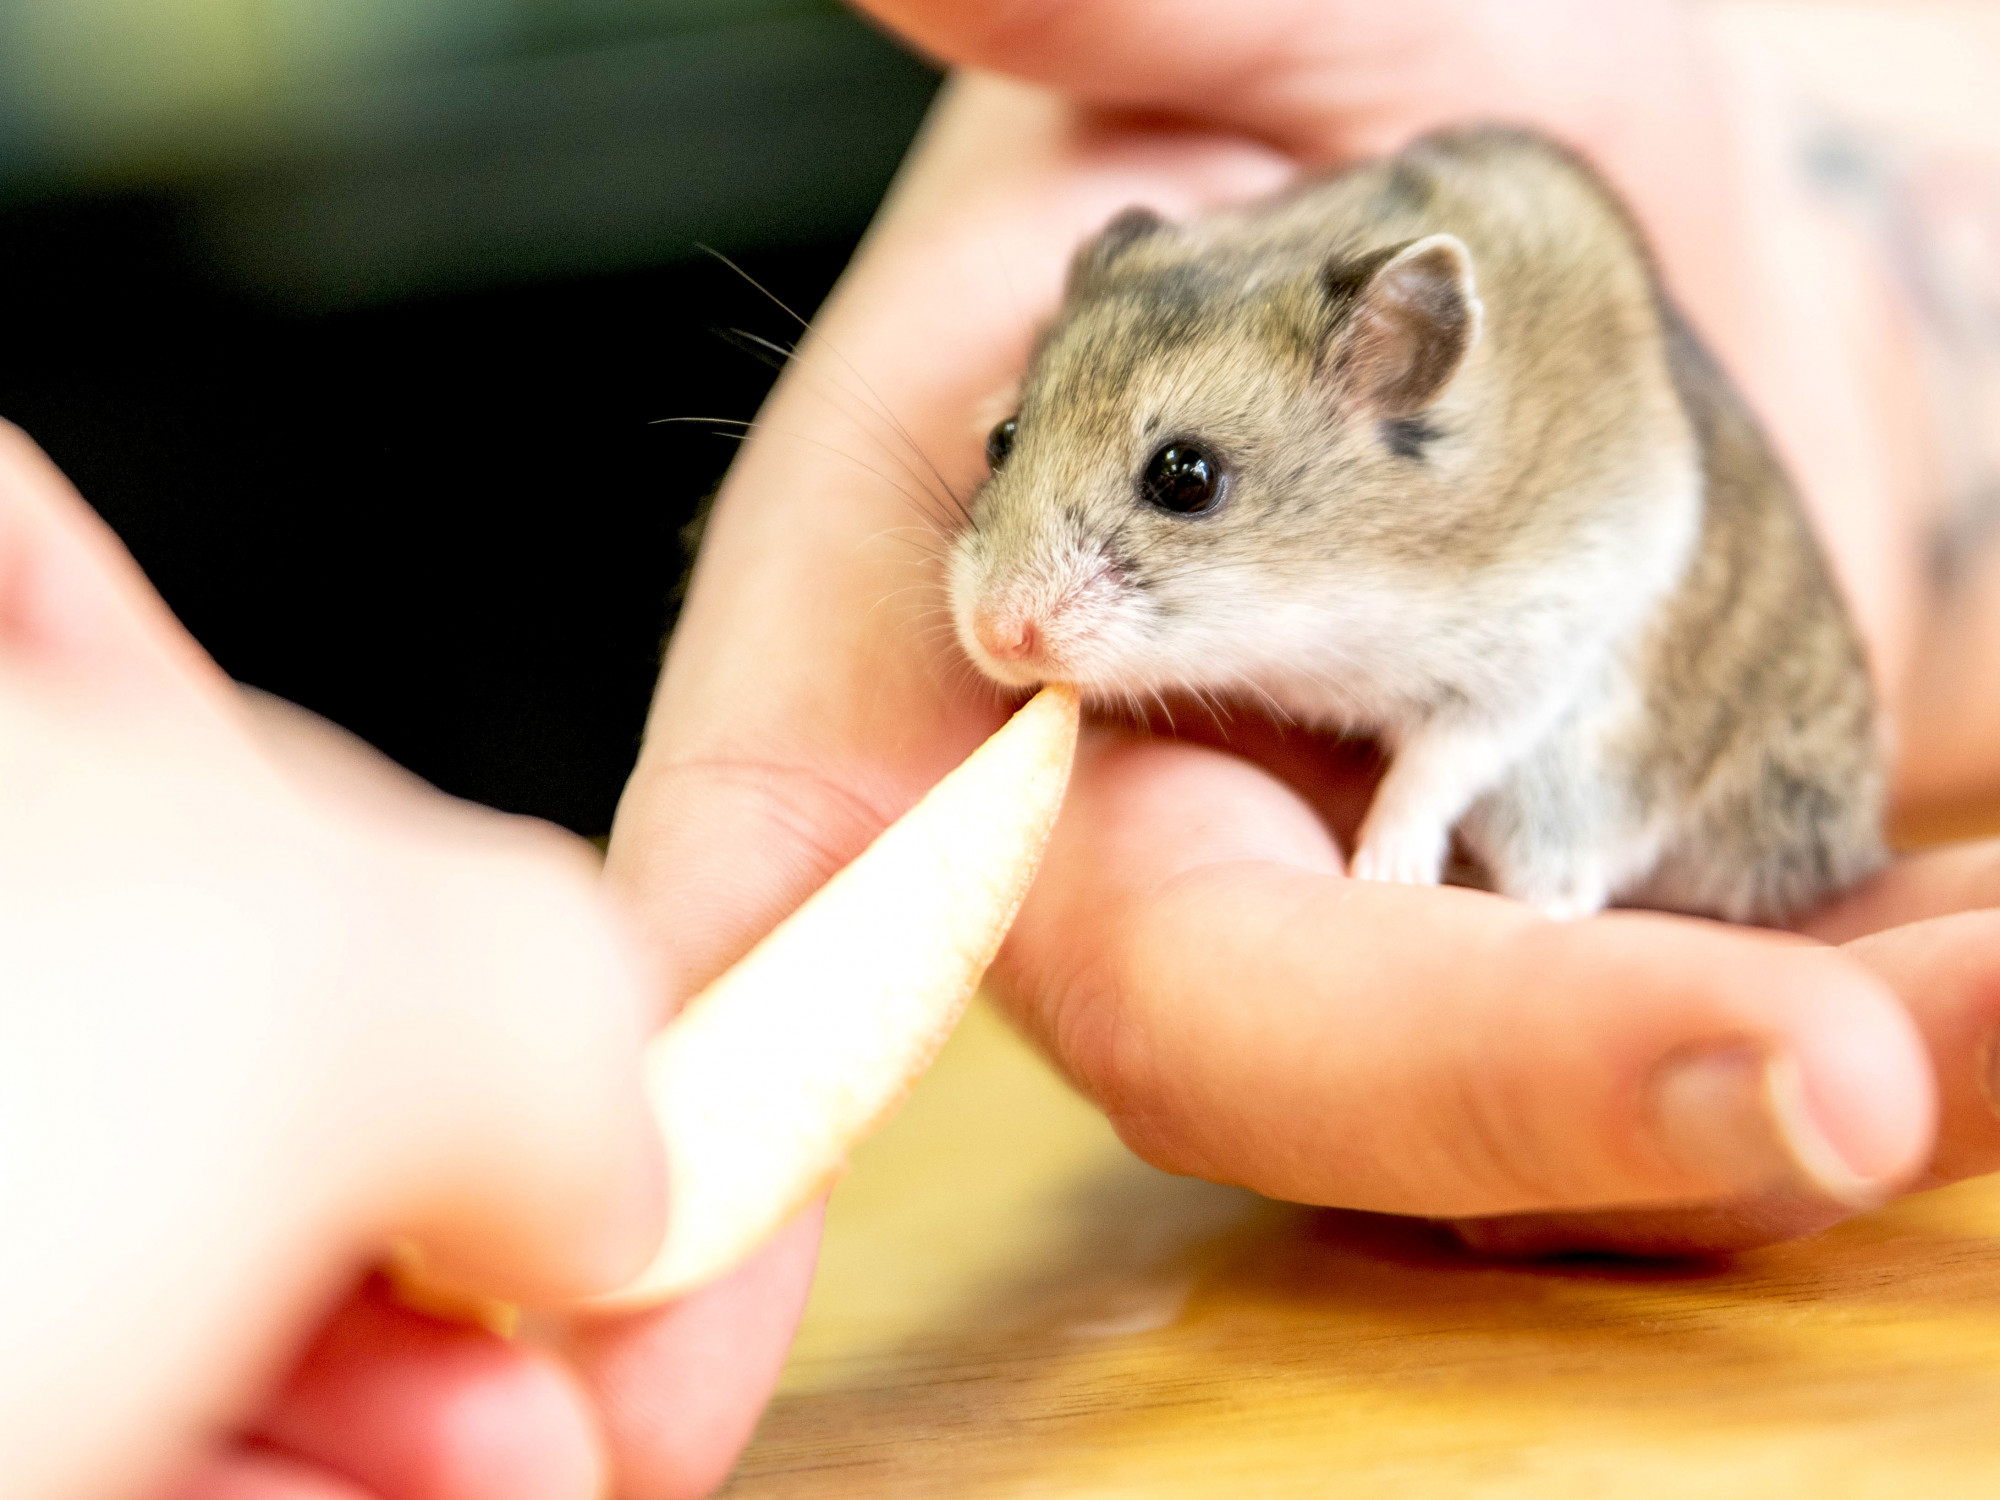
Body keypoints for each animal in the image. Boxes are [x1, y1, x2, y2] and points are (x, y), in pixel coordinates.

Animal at [947, 126, 1885, 923]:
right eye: (1002, 438)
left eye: (1187, 478)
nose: (996, 636)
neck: (1334, 590)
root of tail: (1857, 850)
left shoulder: (1533, 640)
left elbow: (1438, 763)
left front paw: (1384, 873)